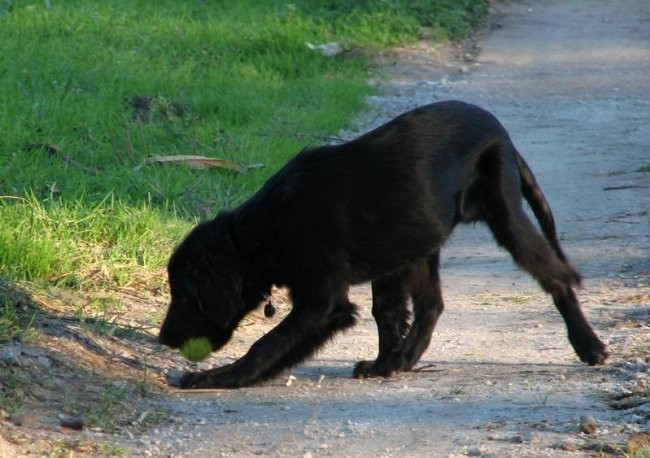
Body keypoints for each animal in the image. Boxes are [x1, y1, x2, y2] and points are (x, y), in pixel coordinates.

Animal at [158, 100, 608, 386]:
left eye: (186, 294)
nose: (163, 338)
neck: (262, 229)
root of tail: (501, 131)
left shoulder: (324, 301)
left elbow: (267, 345)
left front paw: (217, 377)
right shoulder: (377, 270)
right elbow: (387, 315)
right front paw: (384, 364)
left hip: (506, 218)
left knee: (556, 277)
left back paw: (589, 346)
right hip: (415, 245)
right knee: (430, 306)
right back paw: (403, 359)